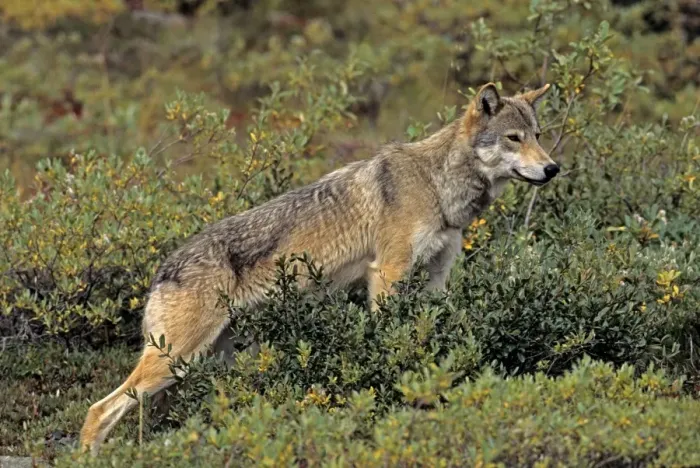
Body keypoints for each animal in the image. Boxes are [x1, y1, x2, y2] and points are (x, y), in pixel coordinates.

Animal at [80, 82, 558, 453]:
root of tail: (162, 270)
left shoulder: (437, 279)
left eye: (538, 135)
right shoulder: (387, 274)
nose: (553, 168)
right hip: (177, 360)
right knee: (98, 410)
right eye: (513, 138)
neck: (437, 186)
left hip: (209, 362)